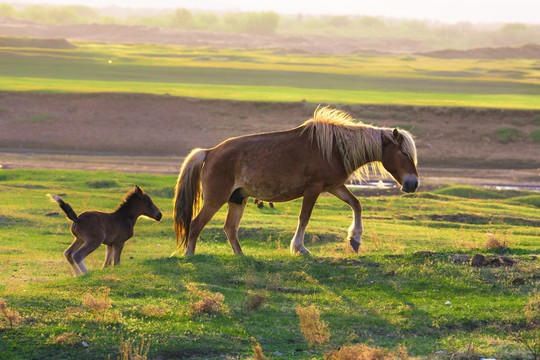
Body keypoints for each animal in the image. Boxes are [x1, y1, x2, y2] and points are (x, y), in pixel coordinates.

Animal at [173, 107, 418, 256]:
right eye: (404, 154)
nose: (412, 184)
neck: (335, 149)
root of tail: (209, 152)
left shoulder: (334, 186)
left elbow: (356, 204)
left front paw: (355, 238)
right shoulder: (314, 188)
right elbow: (304, 217)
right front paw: (299, 248)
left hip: (238, 199)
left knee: (230, 229)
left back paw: (241, 256)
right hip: (216, 199)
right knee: (195, 225)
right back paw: (189, 255)